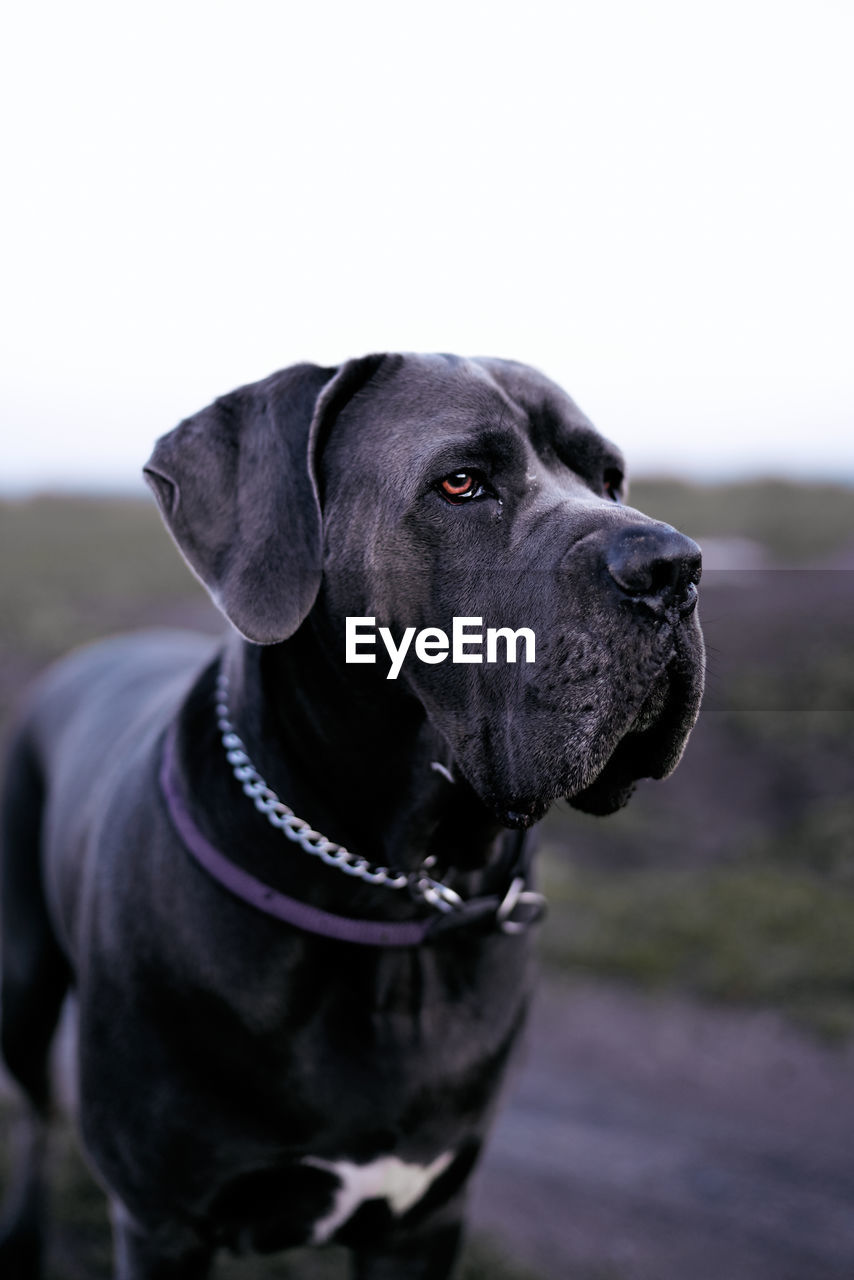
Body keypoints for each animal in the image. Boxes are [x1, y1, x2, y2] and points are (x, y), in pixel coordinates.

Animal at [3, 353, 706, 1280]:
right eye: (461, 483)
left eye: (610, 477)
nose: (675, 566)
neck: (389, 894)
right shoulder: (162, 1223)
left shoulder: (424, 1222)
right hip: (19, 996)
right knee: (29, 1120)